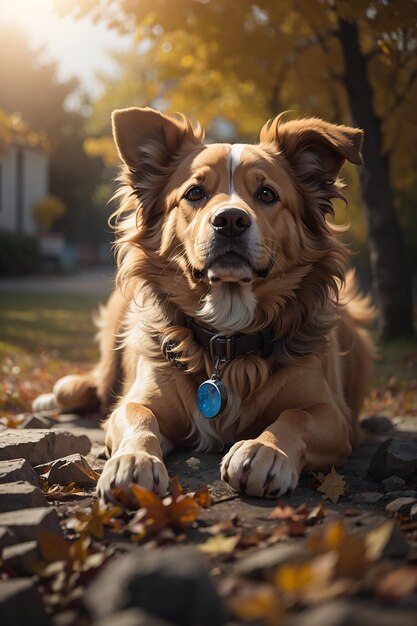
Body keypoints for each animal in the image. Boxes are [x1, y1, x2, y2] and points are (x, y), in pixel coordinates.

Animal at [33, 106, 374, 498]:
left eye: (267, 194)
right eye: (195, 192)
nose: (230, 219)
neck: (226, 339)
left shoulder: (336, 419)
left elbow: (295, 416)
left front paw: (265, 450)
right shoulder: (138, 400)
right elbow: (138, 416)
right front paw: (133, 460)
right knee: (86, 387)